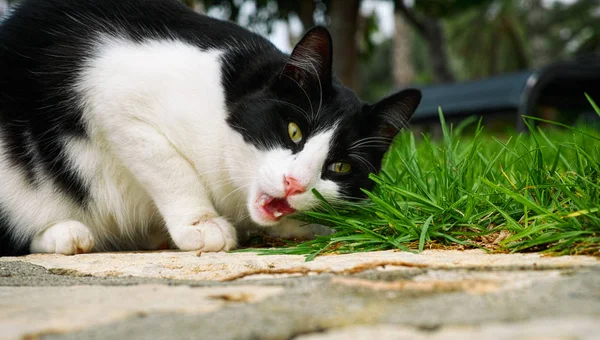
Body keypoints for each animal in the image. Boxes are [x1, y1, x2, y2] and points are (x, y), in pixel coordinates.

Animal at [0, 0, 422, 255]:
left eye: (340, 167)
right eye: (294, 132)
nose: (294, 184)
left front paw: (306, 224)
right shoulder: (112, 97)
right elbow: (169, 166)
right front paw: (201, 223)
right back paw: (64, 234)